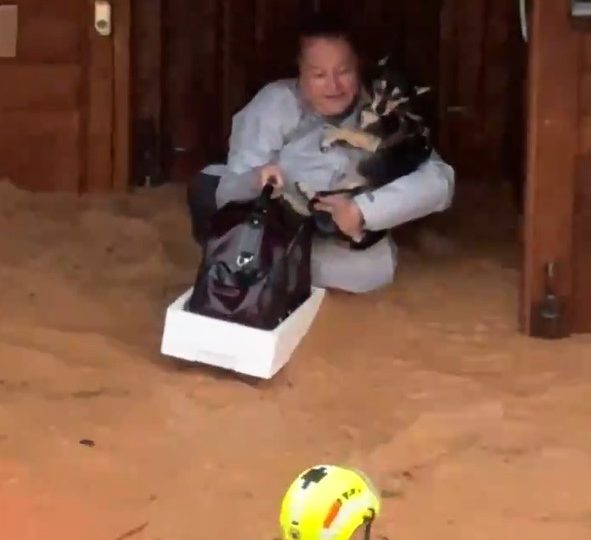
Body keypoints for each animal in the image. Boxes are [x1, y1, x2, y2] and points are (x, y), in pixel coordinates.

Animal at [286, 56, 434, 250]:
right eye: (379, 87)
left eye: (397, 96)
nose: (380, 109)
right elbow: (352, 131)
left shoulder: (374, 139)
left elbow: (348, 131)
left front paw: (330, 135)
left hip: (341, 197)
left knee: (316, 201)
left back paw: (299, 190)